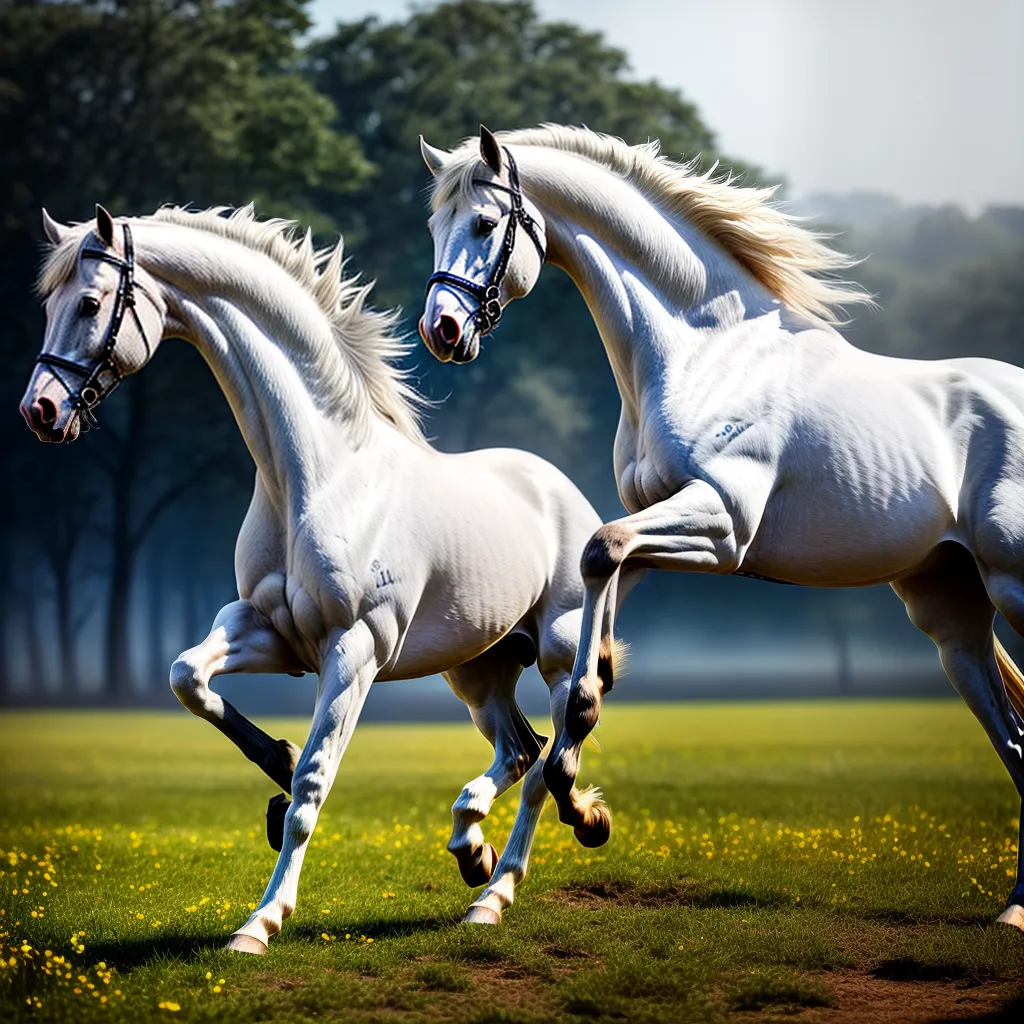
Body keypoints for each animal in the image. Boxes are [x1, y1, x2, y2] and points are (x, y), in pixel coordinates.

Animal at [19, 203, 609, 950]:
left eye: (91, 303)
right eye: (47, 305)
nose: (40, 411)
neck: (320, 476)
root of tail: (566, 493)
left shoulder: (352, 651)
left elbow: (313, 785)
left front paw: (259, 922)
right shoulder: (264, 630)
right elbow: (188, 678)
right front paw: (276, 756)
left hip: (558, 656)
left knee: (553, 758)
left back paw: (501, 885)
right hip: (478, 669)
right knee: (522, 752)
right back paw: (477, 847)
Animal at [417, 124, 1024, 930]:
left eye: (485, 224)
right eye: (435, 226)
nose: (442, 329)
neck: (702, 352)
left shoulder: (723, 526)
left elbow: (595, 574)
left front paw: (567, 796)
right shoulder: (655, 536)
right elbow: (590, 602)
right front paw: (528, 853)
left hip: (1015, 587)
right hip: (952, 617)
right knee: (1014, 739)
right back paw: (1015, 910)